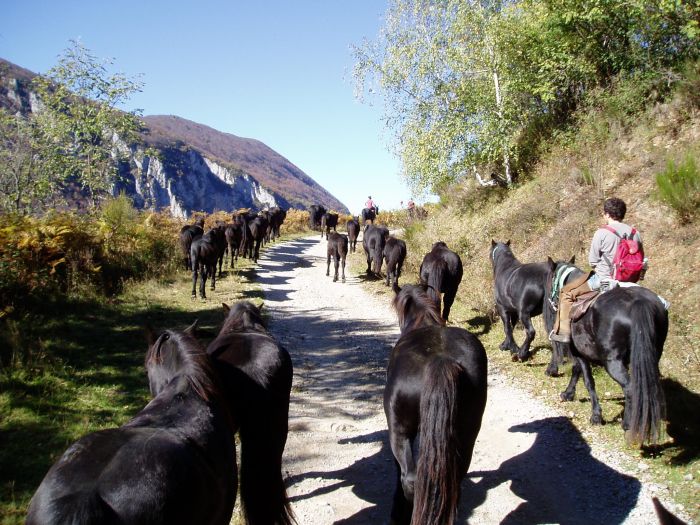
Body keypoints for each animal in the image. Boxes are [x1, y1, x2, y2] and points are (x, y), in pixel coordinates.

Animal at [492, 239, 564, 370]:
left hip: (524, 313)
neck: (504, 268)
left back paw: (522, 354)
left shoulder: (503, 309)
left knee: (531, 332)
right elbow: (511, 328)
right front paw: (505, 345)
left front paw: (513, 349)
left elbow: (507, 328)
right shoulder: (514, 312)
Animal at [540, 258, 668, 442]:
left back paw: (627, 424)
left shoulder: (580, 353)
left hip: (612, 362)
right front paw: (568, 394)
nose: (550, 300)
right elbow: (577, 371)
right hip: (653, 355)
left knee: (630, 388)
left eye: (550, 280)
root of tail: (639, 303)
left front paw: (596, 416)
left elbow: (588, 381)